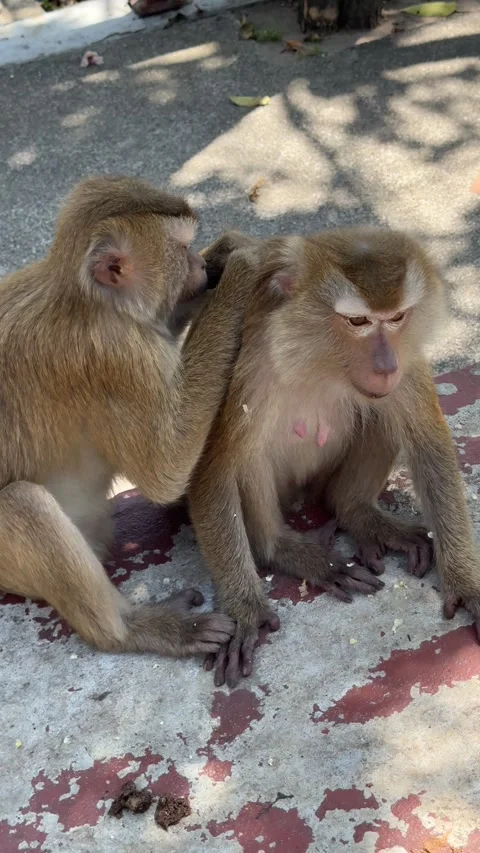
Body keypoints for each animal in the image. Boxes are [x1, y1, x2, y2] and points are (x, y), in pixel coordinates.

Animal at [0, 175, 261, 659]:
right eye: (182, 249)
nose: (198, 264)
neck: (88, 300)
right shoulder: (116, 358)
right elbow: (164, 470)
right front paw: (243, 269)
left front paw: (227, 252)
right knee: (20, 502)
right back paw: (131, 630)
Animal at [188, 227, 480, 688]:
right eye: (358, 322)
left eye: (397, 318)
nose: (385, 365)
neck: (320, 360)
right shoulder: (249, 361)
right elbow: (211, 469)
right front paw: (243, 609)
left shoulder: (407, 358)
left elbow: (427, 443)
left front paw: (466, 580)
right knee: (249, 459)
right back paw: (283, 549)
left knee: (377, 412)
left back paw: (356, 510)